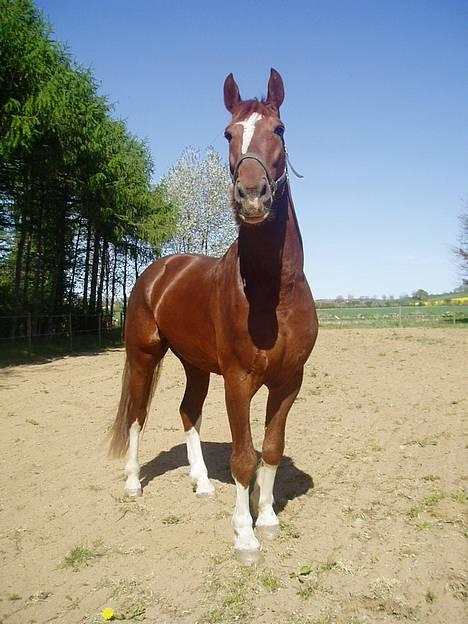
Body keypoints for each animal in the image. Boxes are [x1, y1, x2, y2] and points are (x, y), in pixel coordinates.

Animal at [110, 68, 318, 564]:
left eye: (279, 129)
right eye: (228, 133)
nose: (251, 196)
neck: (274, 296)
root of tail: (159, 270)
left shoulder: (289, 381)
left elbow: (270, 449)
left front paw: (269, 518)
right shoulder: (239, 380)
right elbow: (243, 456)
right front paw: (245, 536)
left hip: (196, 365)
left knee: (188, 411)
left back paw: (201, 483)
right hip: (143, 357)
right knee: (136, 416)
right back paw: (133, 483)